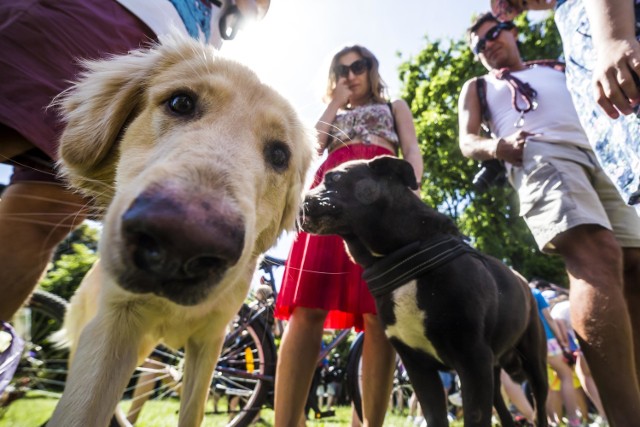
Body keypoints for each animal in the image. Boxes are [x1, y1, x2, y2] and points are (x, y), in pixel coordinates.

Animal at [47, 36, 312, 427]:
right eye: (180, 103)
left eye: (280, 155)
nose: (182, 243)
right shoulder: (113, 325)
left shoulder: (210, 341)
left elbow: (192, 411)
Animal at [302, 157, 548, 427]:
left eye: (334, 178)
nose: (301, 200)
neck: (401, 257)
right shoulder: (419, 368)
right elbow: (435, 416)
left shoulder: (472, 359)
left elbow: (475, 417)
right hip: (492, 372)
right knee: (503, 411)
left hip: (534, 364)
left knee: (540, 406)